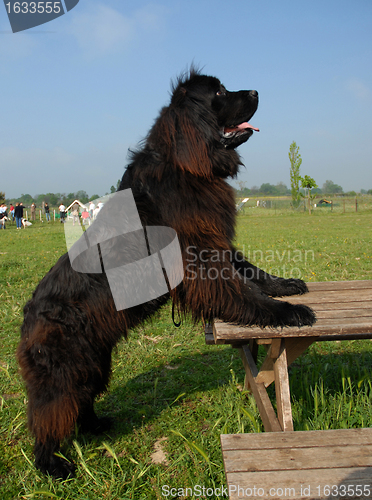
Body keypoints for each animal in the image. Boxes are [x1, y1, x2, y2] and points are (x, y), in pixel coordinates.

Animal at [16, 68, 316, 478]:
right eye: (219, 93)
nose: (256, 90)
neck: (185, 166)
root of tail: (28, 317)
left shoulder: (215, 242)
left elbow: (250, 271)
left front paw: (286, 286)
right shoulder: (197, 253)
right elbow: (239, 289)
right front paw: (283, 313)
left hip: (94, 362)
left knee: (81, 400)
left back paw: (96, 425)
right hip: (62, 371)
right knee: (49, 415)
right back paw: (51, 465)